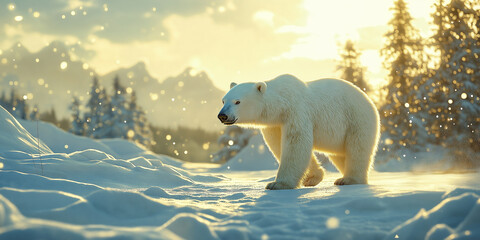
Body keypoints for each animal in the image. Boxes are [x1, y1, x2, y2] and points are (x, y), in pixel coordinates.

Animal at [219, 74, 380, 190]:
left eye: (237, 101)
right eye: (223, 100)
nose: (222, 115)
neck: (281, 103)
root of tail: (370, 101)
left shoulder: (296, 111)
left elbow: (296, 143)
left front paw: (277, 184)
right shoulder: (275, 124)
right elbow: (278, 145)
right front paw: (312, 178)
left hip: (356, 120)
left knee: (357, 149)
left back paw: (349, 180)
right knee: (339, 154)